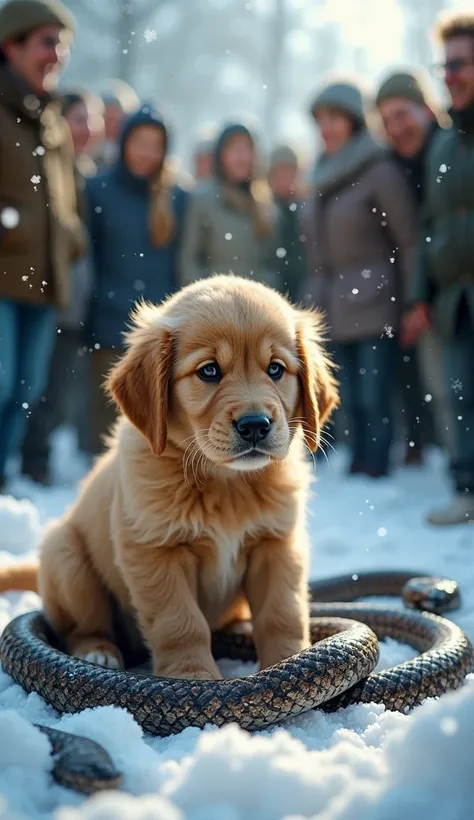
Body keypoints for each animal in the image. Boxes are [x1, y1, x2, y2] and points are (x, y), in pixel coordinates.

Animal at [3, 276, 338, 680]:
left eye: (275, 369)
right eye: (209, 371)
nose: (256, 425)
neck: (225, 482)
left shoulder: (277, 545)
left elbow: (282, 613)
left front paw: (290, 662)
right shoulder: (155, 551)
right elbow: (180, 622)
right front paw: (193, 676)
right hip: (64, 557)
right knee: (83, 627)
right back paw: (97, 652)